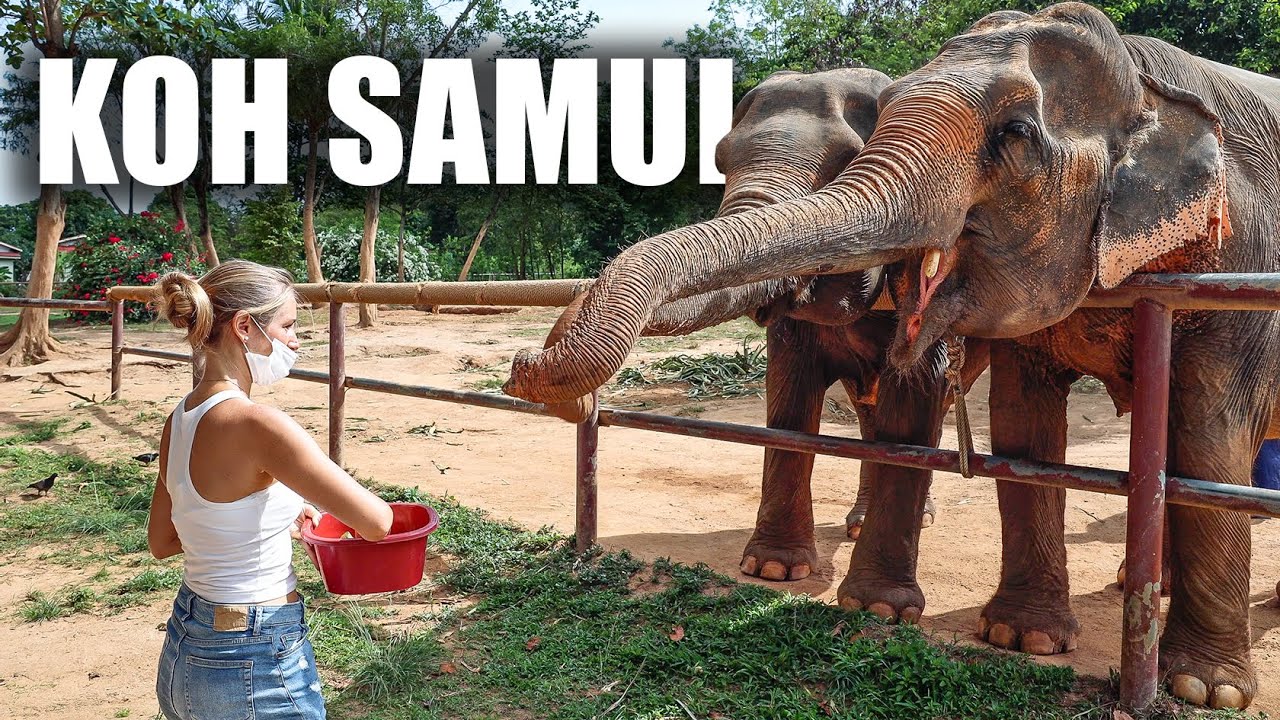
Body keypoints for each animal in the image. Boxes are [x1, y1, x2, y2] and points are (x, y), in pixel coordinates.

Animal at [542, 67, 990, 586]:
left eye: (846, 158)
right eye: (719, 158)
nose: (524, 364)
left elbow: (920, 392)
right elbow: (789, 398)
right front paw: (774, 569)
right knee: (868, 410)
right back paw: (858, 523)